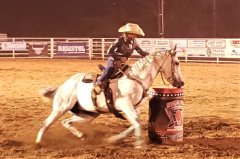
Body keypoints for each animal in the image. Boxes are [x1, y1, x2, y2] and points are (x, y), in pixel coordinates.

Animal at [35, 44, 184, 148]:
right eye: (177, 62)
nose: (181, 83)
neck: (136, 78)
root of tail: (62, 86)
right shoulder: (125, 105)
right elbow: (136, 123)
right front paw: (139, 144)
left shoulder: (133, 108)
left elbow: (135, 123)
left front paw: (112, 139)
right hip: (61, 107)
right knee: (45, 123)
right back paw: (38, 143)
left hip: (88, 115)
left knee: (66, 122)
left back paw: (80, 135)